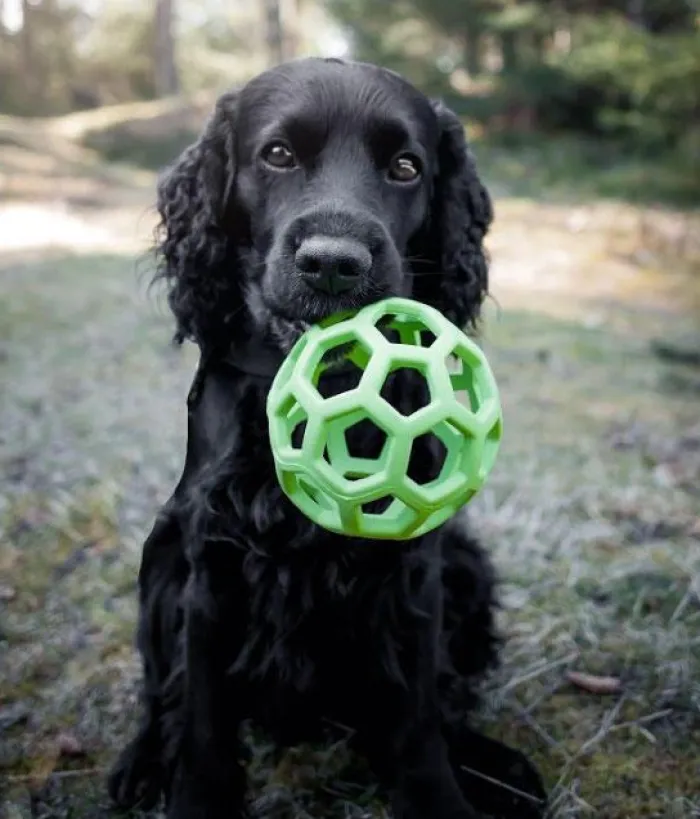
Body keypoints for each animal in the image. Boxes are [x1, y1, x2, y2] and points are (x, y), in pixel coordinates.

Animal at [108, 59, 548, 819]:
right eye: (278, 154)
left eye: (406, 167)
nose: (335, 264)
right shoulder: (211, 565)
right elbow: (200, 716)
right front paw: (191, 792)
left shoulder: (414, 570)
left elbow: (420, 716)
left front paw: (438, 794)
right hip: (159, 557)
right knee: (161, 694)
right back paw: (141, 761)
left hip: (466, 561)